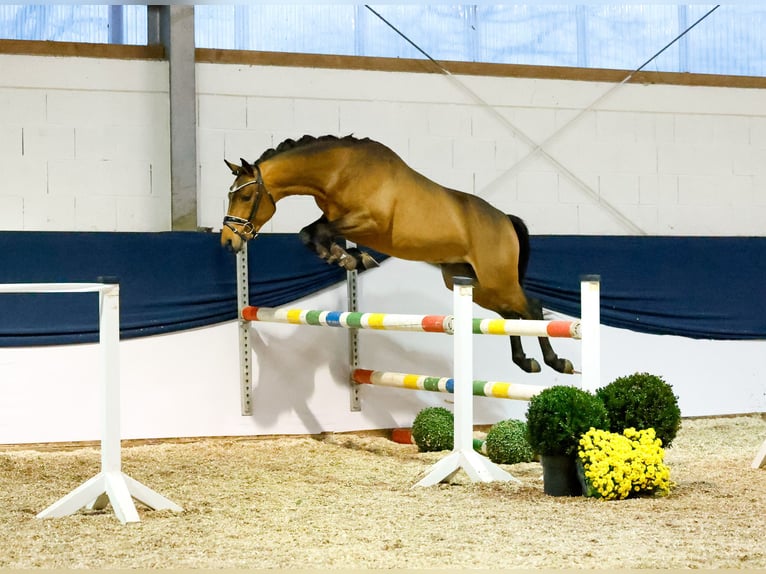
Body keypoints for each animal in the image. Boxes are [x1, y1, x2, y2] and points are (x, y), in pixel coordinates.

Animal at [222, 136, 576, 378]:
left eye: (246, 195)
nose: (228, 241)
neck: (340, 171)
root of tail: (505, 219)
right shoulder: (339, 221)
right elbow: (310, 234)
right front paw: (348, 257)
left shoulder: (367, 221)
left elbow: (314, 232)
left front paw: (349, 258)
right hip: (472, 282)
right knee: (510, 314)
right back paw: (525, 362)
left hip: (496, 279)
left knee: (531, 307)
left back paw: (556, 362)